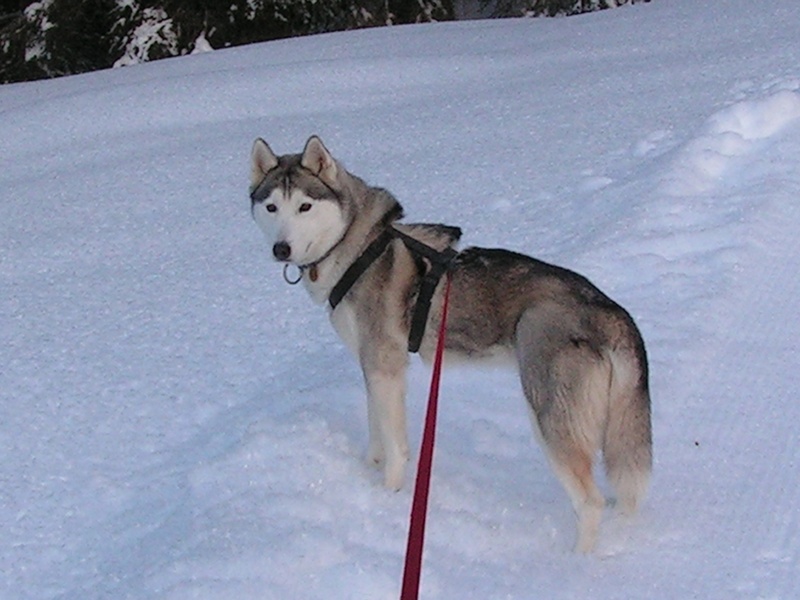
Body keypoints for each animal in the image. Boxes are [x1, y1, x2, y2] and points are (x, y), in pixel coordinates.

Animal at [250, 136, 648, 552]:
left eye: (305, 206)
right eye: (272, 206)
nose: (281, 249)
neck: (357, 248)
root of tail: (610, 312)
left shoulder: (384, 363)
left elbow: (396, 447)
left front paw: (389, 496)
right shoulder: (374, 365)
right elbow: (376, 429)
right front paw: (369, 468)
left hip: (551, 418)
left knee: (589, 501)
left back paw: (578, 559)